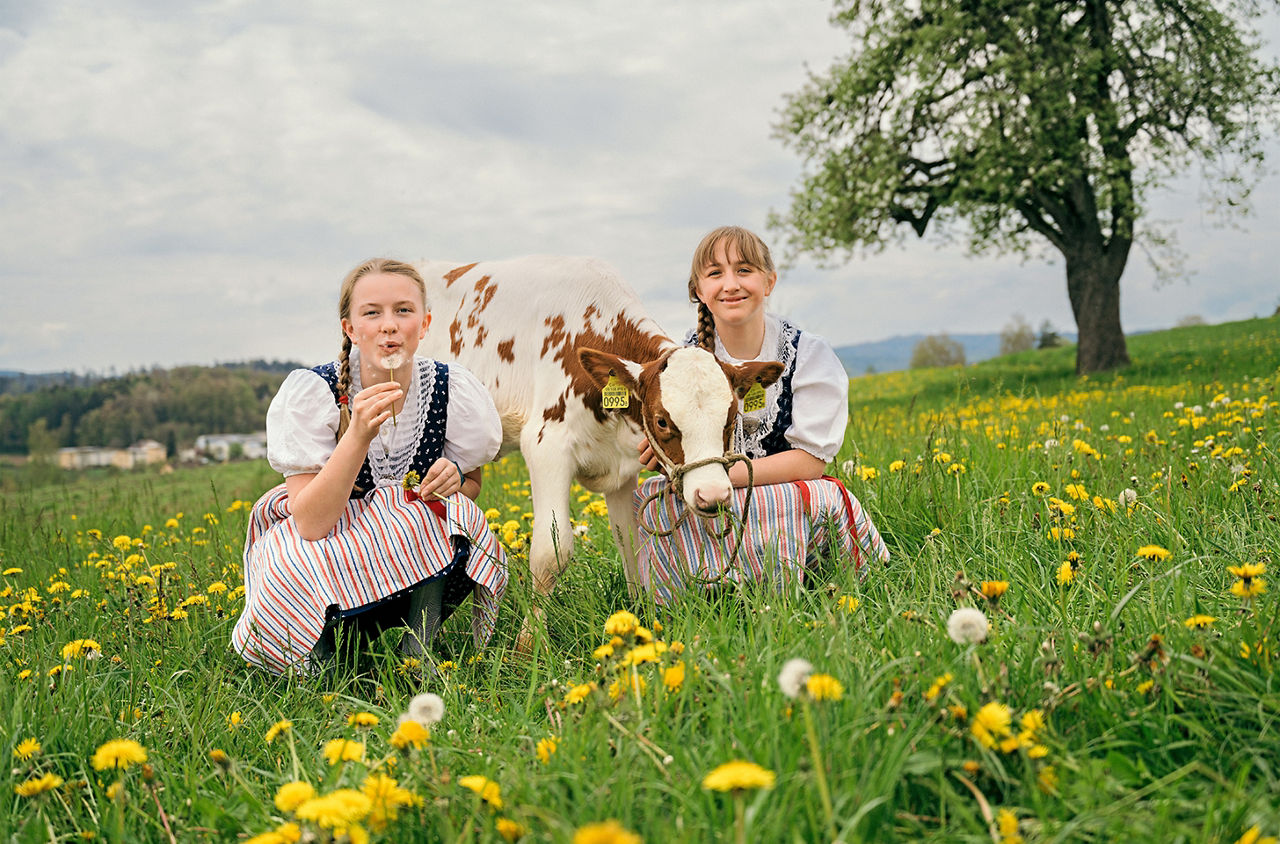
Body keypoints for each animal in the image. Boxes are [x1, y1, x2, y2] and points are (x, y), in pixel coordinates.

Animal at [417, 257, 778, 601]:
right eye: (661, 420)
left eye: (731, 416)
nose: (713, 494)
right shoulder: (547, 447)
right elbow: (550, 553)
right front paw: (533, 628)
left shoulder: (623, 468)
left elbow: (630, 543)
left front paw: (639, 611)